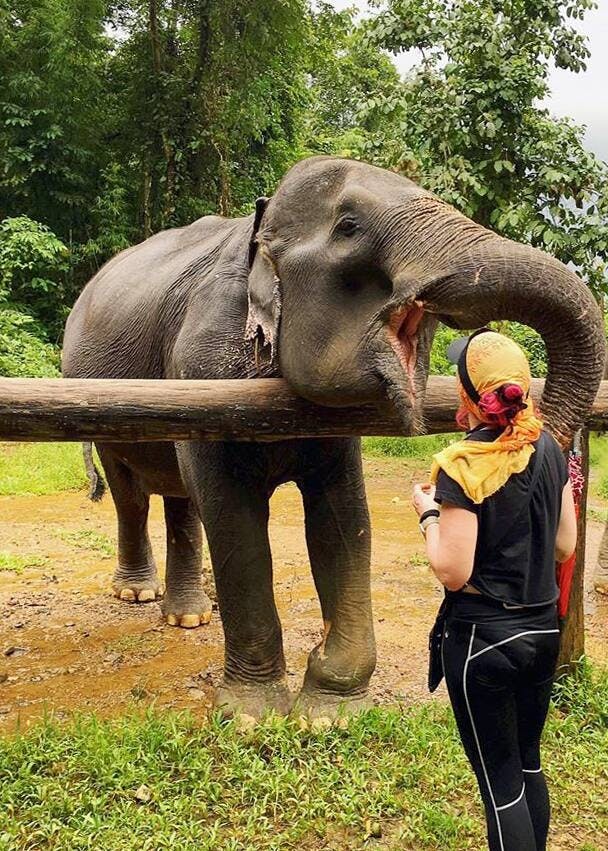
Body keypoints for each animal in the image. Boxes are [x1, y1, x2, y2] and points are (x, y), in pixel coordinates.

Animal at [61, 153, 604, 720]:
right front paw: (251, 717)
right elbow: (234, 520)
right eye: (348, 227)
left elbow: (343, 520)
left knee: (180, 498)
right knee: (132, 495)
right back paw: (137, 595)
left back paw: (189, 617)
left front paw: (331, 713)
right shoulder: (203, 366)